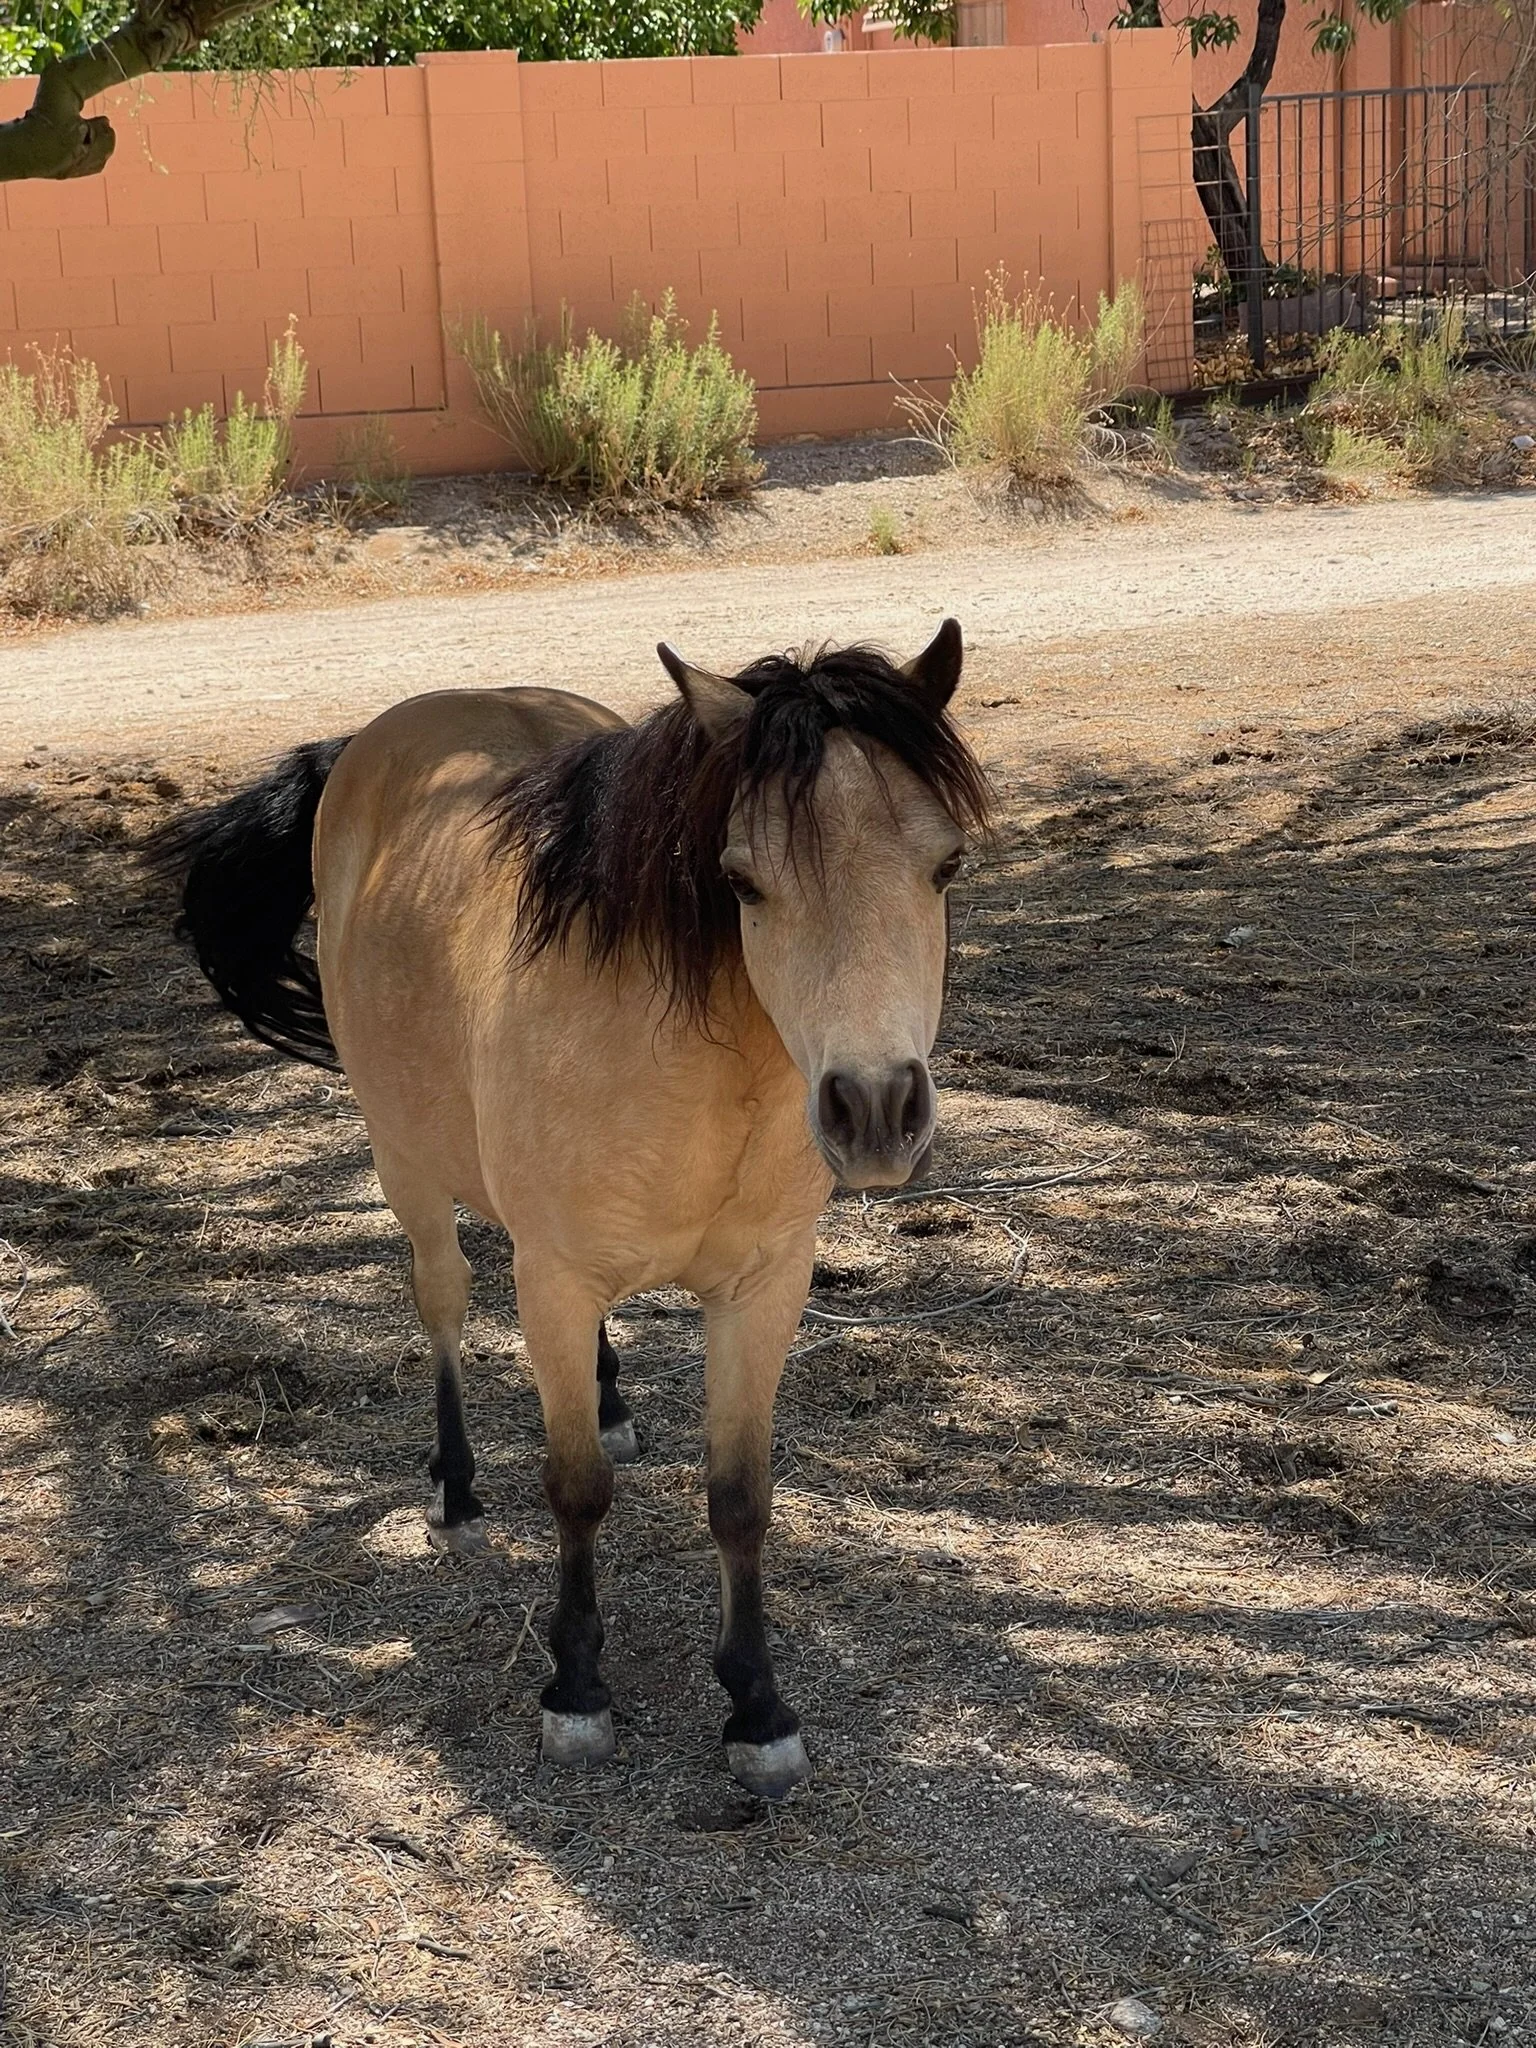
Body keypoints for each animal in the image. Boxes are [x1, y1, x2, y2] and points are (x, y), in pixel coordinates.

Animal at [150, 622, 990, 1798]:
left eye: (944, 864)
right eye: (742, 882)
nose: (875, 1110)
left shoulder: (765, 1285)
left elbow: (739, 1494)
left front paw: (758, 1706)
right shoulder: (549, 1276)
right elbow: (576, 1489)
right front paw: (577, 1687)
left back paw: (609, 1401)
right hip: (409, 1169)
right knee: (444, 1304)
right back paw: (456, 1493)